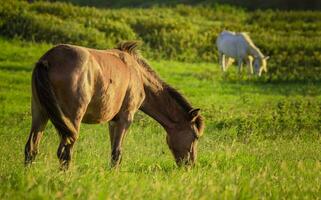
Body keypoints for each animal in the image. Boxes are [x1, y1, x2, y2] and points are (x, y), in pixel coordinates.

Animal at [25, 41, 205, 169]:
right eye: (195, 136)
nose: (191, 165)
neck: (138, 74)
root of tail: (48, 60)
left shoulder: (113, 121)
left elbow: (113, 152)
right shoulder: (126, 118)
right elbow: (117, 153)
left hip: (40, 113)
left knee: (31, 149)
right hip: (72, 119)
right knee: (64, 153)